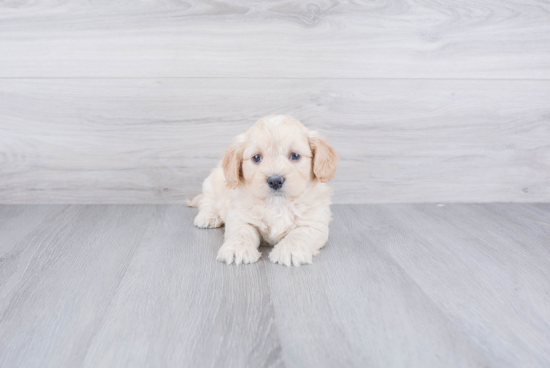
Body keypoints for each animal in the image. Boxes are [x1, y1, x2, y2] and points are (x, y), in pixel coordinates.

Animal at [188, 115, 338, 268]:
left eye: (295, 156)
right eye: (256, 157)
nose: (275, 181)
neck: (277, 205)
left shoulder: (314, 223)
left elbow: (299, 234)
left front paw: (289, 250)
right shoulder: (240, 218)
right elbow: (242, 232)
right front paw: (237, 248)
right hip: (212, 182)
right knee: (207, 201)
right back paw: (208, 216)